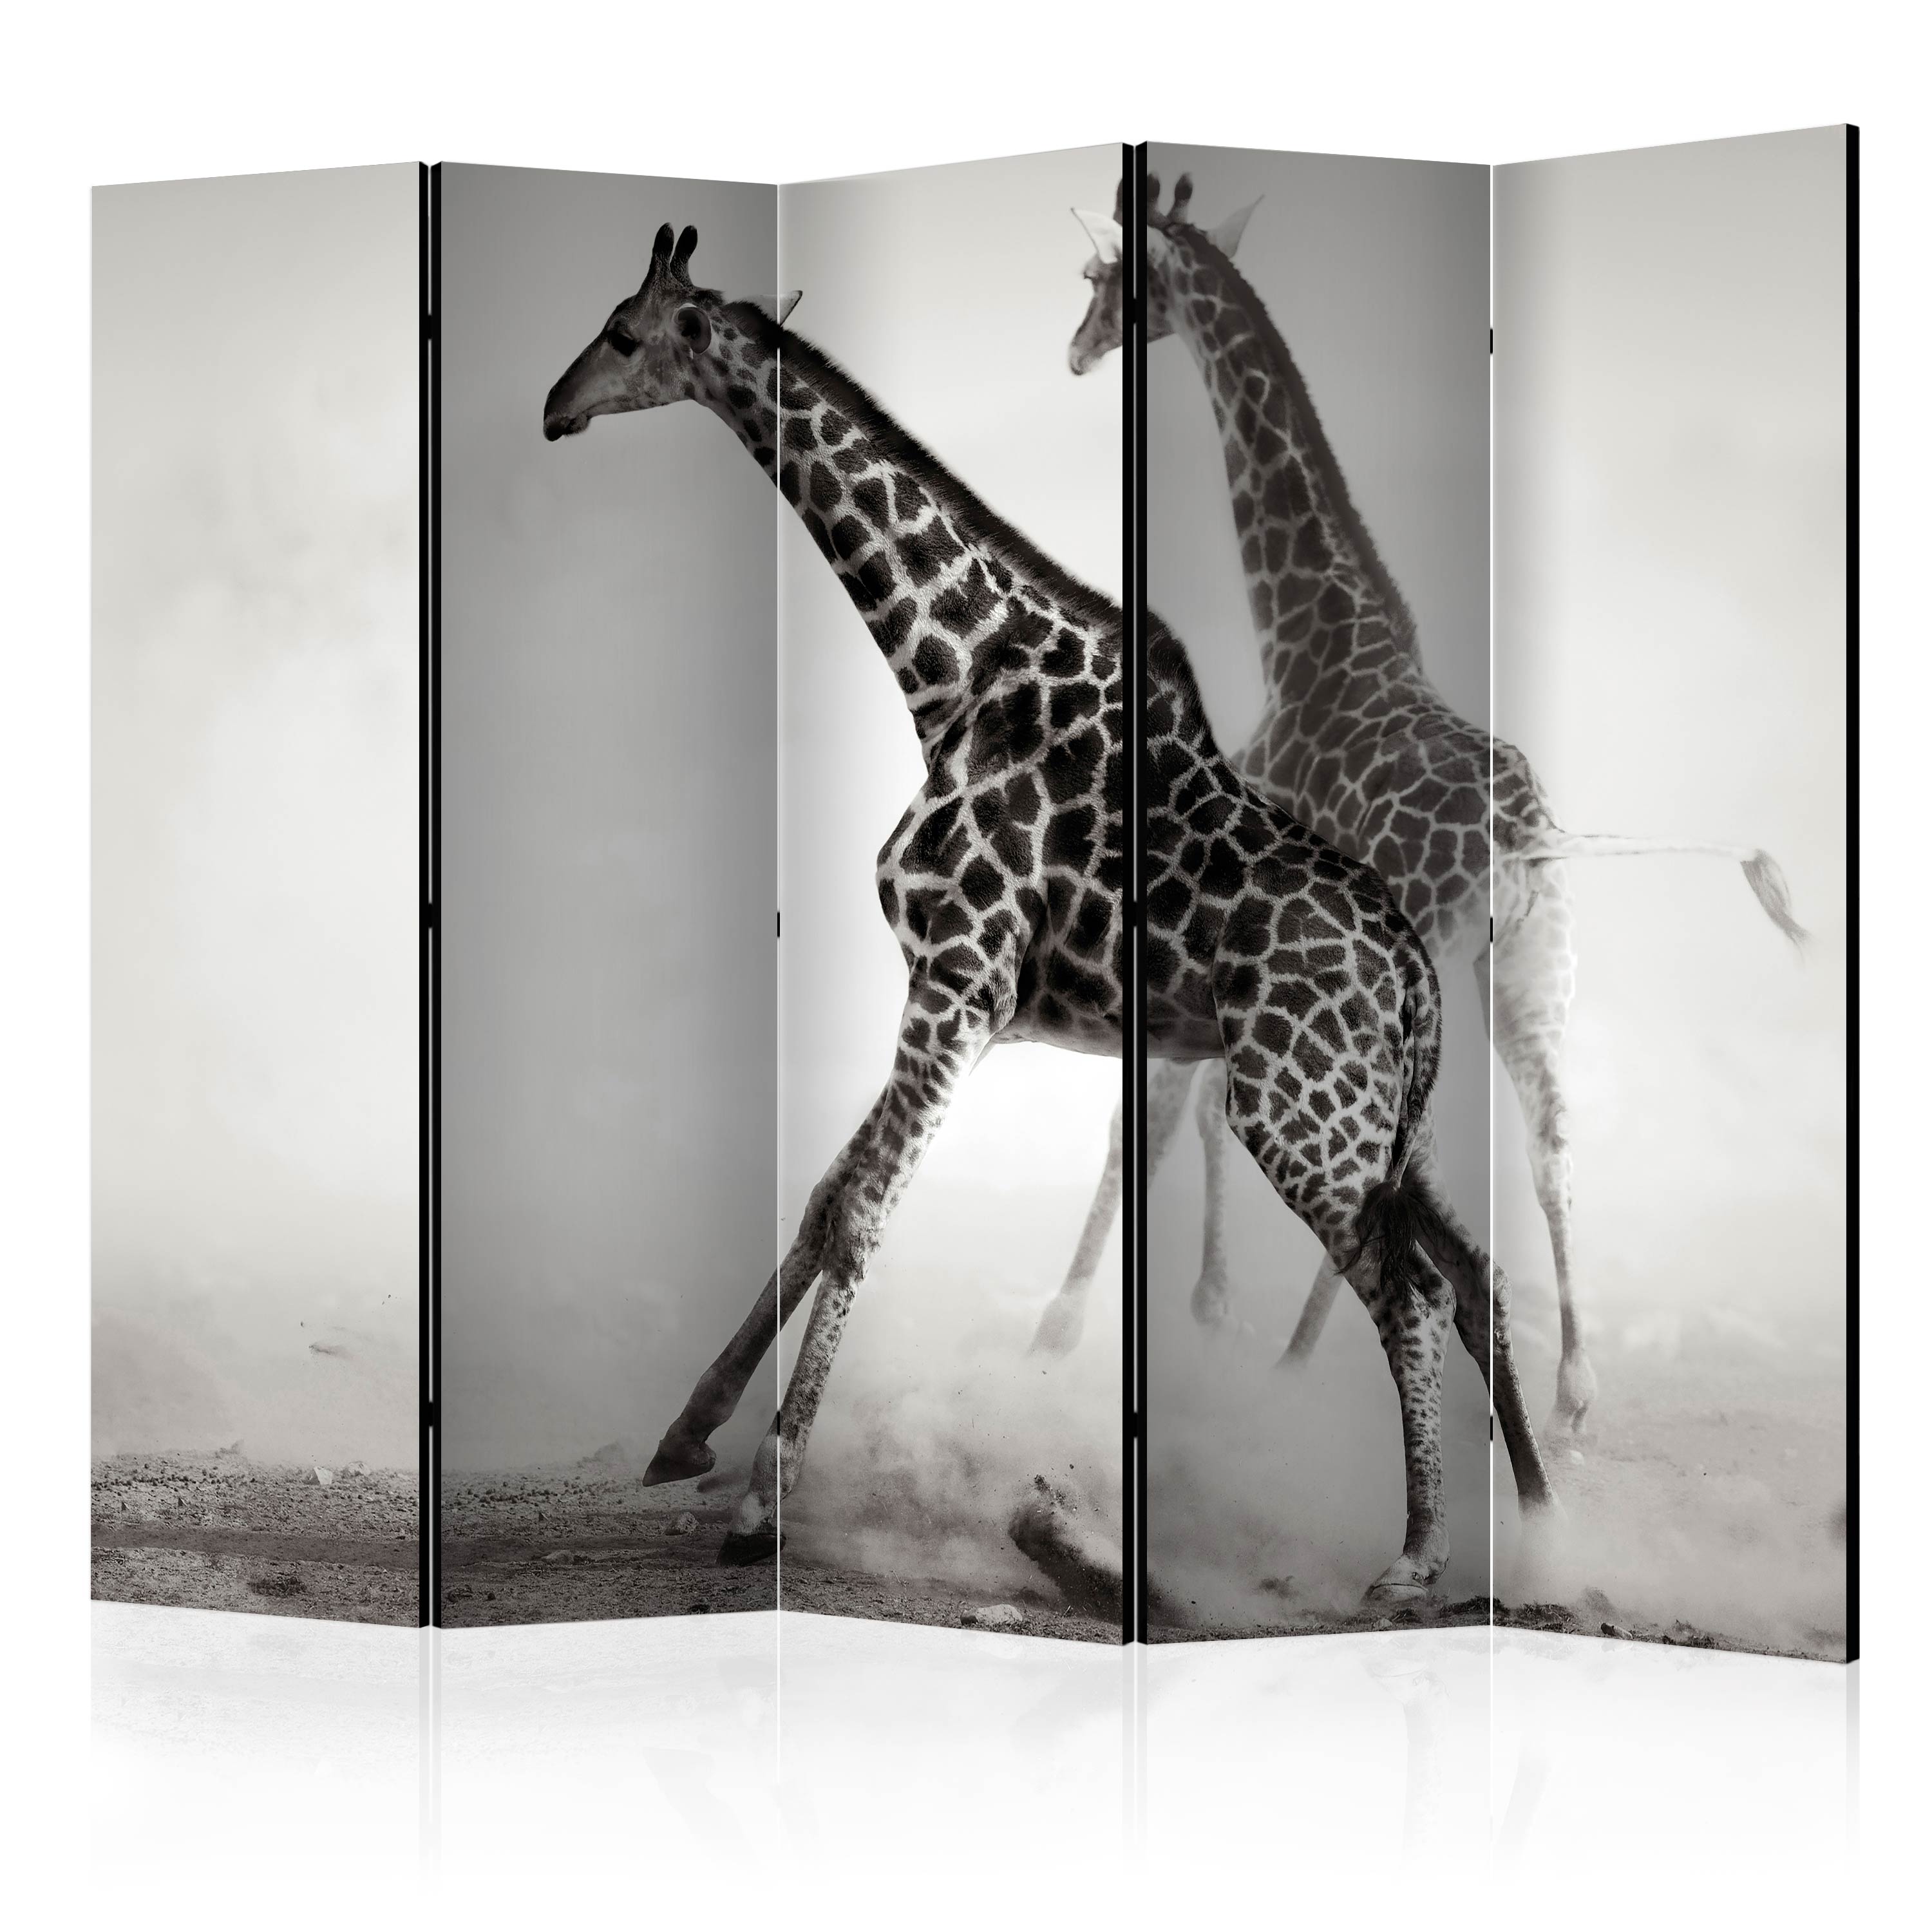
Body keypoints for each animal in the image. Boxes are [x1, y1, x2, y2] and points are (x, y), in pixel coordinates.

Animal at [540, 218, 1554, 1601]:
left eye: (625, 334)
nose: (554, 407)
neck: (955, 678)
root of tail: (1412, 976)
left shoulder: (958, 984)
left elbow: (857, 1216)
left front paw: (760, 1501)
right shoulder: (950, 997)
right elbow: (820, 1202)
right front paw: (684, 1437)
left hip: (1300, 1116)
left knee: (1407, 1297)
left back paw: (1412, 1563)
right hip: (1383, 1124)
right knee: (1475, 1277)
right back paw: (1546, 1527)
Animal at [1044, 174, 1806, 1444]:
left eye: (1107, 276)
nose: (1074, 351)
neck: (1309, 641)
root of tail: (1533, 836)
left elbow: (1158, 1119)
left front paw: (1088, 1325)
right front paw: (1194, 1309)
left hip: (1446, 970)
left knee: (1414, 1156)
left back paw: (1308, 1360)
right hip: (1532, 975)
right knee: (1550, 1147)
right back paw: (1570, 1395)